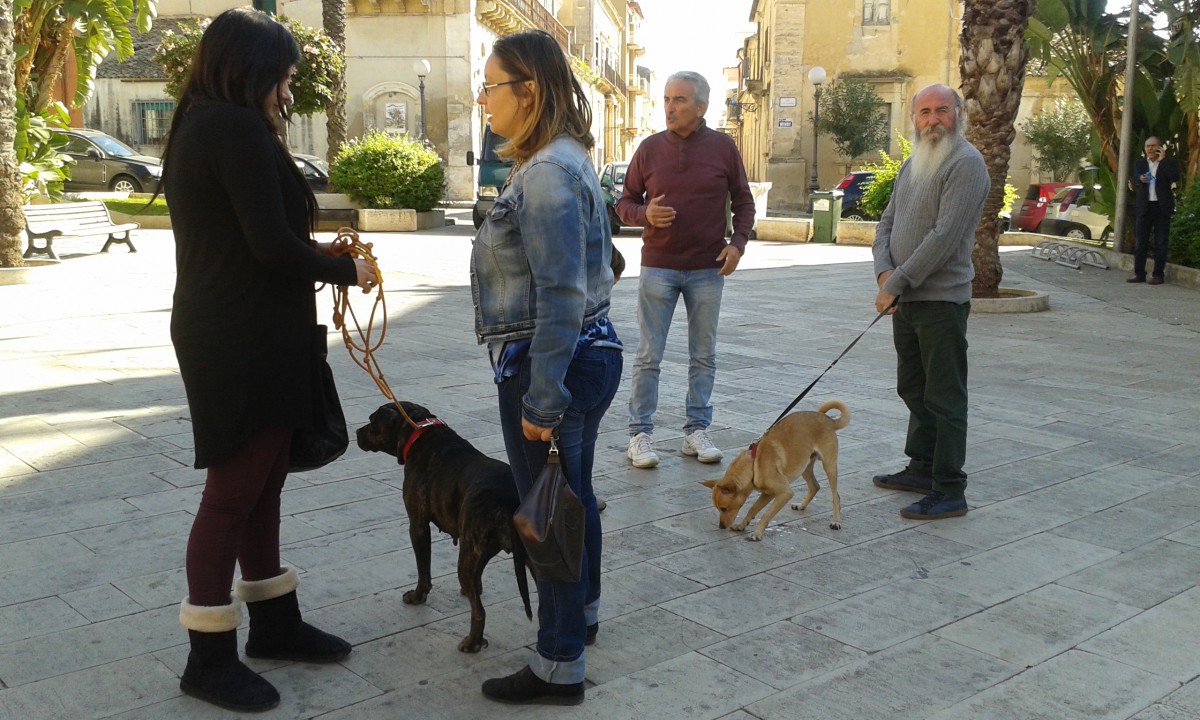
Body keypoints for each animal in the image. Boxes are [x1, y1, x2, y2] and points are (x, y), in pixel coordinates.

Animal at [350, 403, 530, 657]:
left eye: (372, 420)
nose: (357, 432)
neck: (419, 429)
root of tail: (511, 499)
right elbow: (476, 580)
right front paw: (473, 589)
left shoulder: (418, 525)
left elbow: (423, 568)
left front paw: (418, 596)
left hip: (466, 559)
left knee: (479, 612)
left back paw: (472, 642)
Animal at [700, 398, 849, 540]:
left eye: (724, 509)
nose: (721, 527)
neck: (753, 466)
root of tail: (828, 419)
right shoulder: (768, 494)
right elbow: (753, 509)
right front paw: (742, 525)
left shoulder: (785, 493)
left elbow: (766, 514)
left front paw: (757, 534)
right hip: (804, 466)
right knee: (814, 486)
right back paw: (802, 505)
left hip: (829, 466)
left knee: (835, 496)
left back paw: (836, 521)